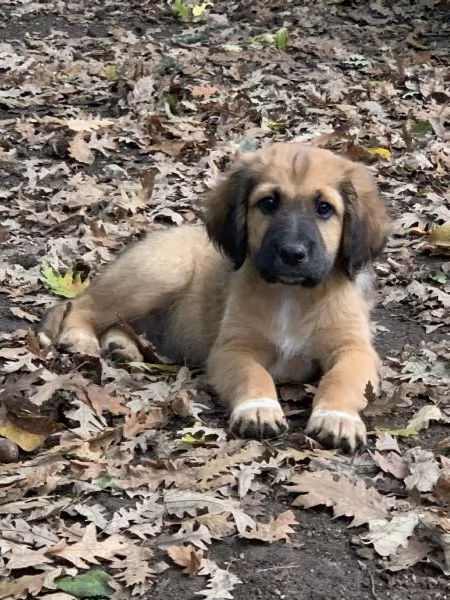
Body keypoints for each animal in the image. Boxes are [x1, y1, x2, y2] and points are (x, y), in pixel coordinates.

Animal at [39, 142, 390, 450]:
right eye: (268, 203)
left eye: (324, 209)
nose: (292, 253)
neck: (292, 296)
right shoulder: (233, 348)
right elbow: (253, 374)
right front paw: (259, 408)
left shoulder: (354, 348)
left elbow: (341, 378)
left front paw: (337, 418)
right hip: (162, 272)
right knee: (80, 305)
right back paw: (80, 337)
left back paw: (120, 346)